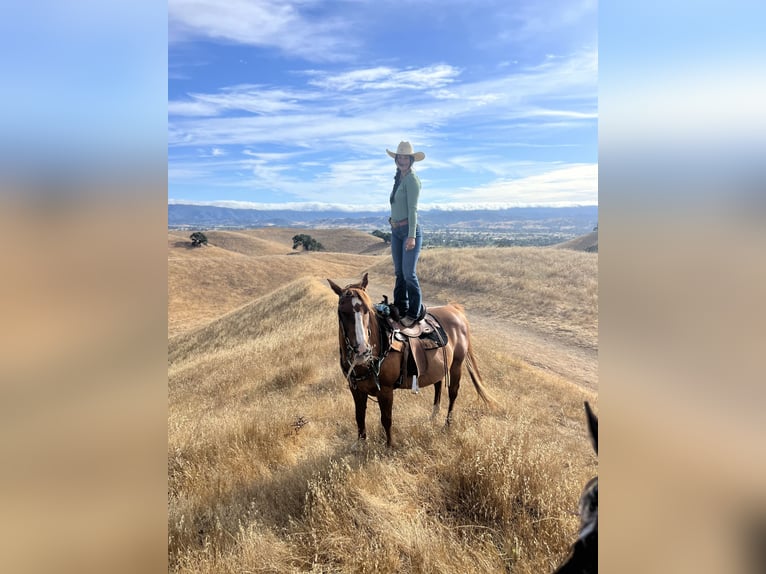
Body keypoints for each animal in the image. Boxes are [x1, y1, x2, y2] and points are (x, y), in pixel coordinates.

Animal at [327, 272, 497, 447]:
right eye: (342, 311)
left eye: (367, 310)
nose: (362, 351)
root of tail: (454, 309)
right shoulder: (355, 389)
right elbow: (359, 417)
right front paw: (360, 443)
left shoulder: (386, 390)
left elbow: (386, 419)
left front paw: (389, 445)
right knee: (438, 385)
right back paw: (433, 416)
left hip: (456, 365)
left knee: (453, 393)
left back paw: (447, 425)